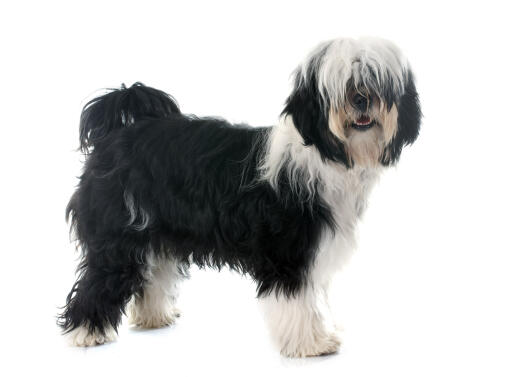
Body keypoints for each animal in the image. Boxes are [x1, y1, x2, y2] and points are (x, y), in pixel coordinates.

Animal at [59, 36, 420, 356]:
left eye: (375, 80)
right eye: (343, 83)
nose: (361, 99)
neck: (323, 155)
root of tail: (116, 133)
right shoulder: (288, 252)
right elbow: (297, 299)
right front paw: (311, 344)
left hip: (153, 234)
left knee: (151, 274)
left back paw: (153, 317)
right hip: (117, 237)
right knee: (99, 281)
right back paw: (85, 334)